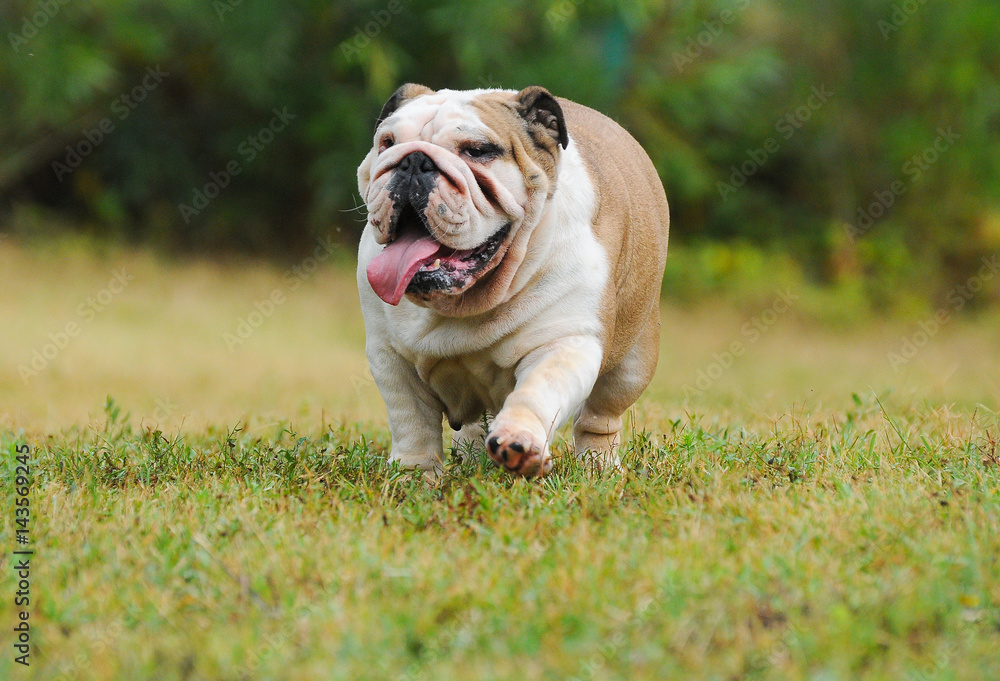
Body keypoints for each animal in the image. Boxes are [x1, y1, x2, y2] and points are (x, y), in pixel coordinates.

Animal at [356, 85, 668, 476]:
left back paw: (599, 467)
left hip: (631, 366)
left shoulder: (564, 342)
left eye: (478, 150)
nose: (413, 161)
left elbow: (537, 391)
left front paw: (518, 441)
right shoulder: (389, 356)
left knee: (599, 418)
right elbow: (411, 421)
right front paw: (415, 474)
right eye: (387, 143)